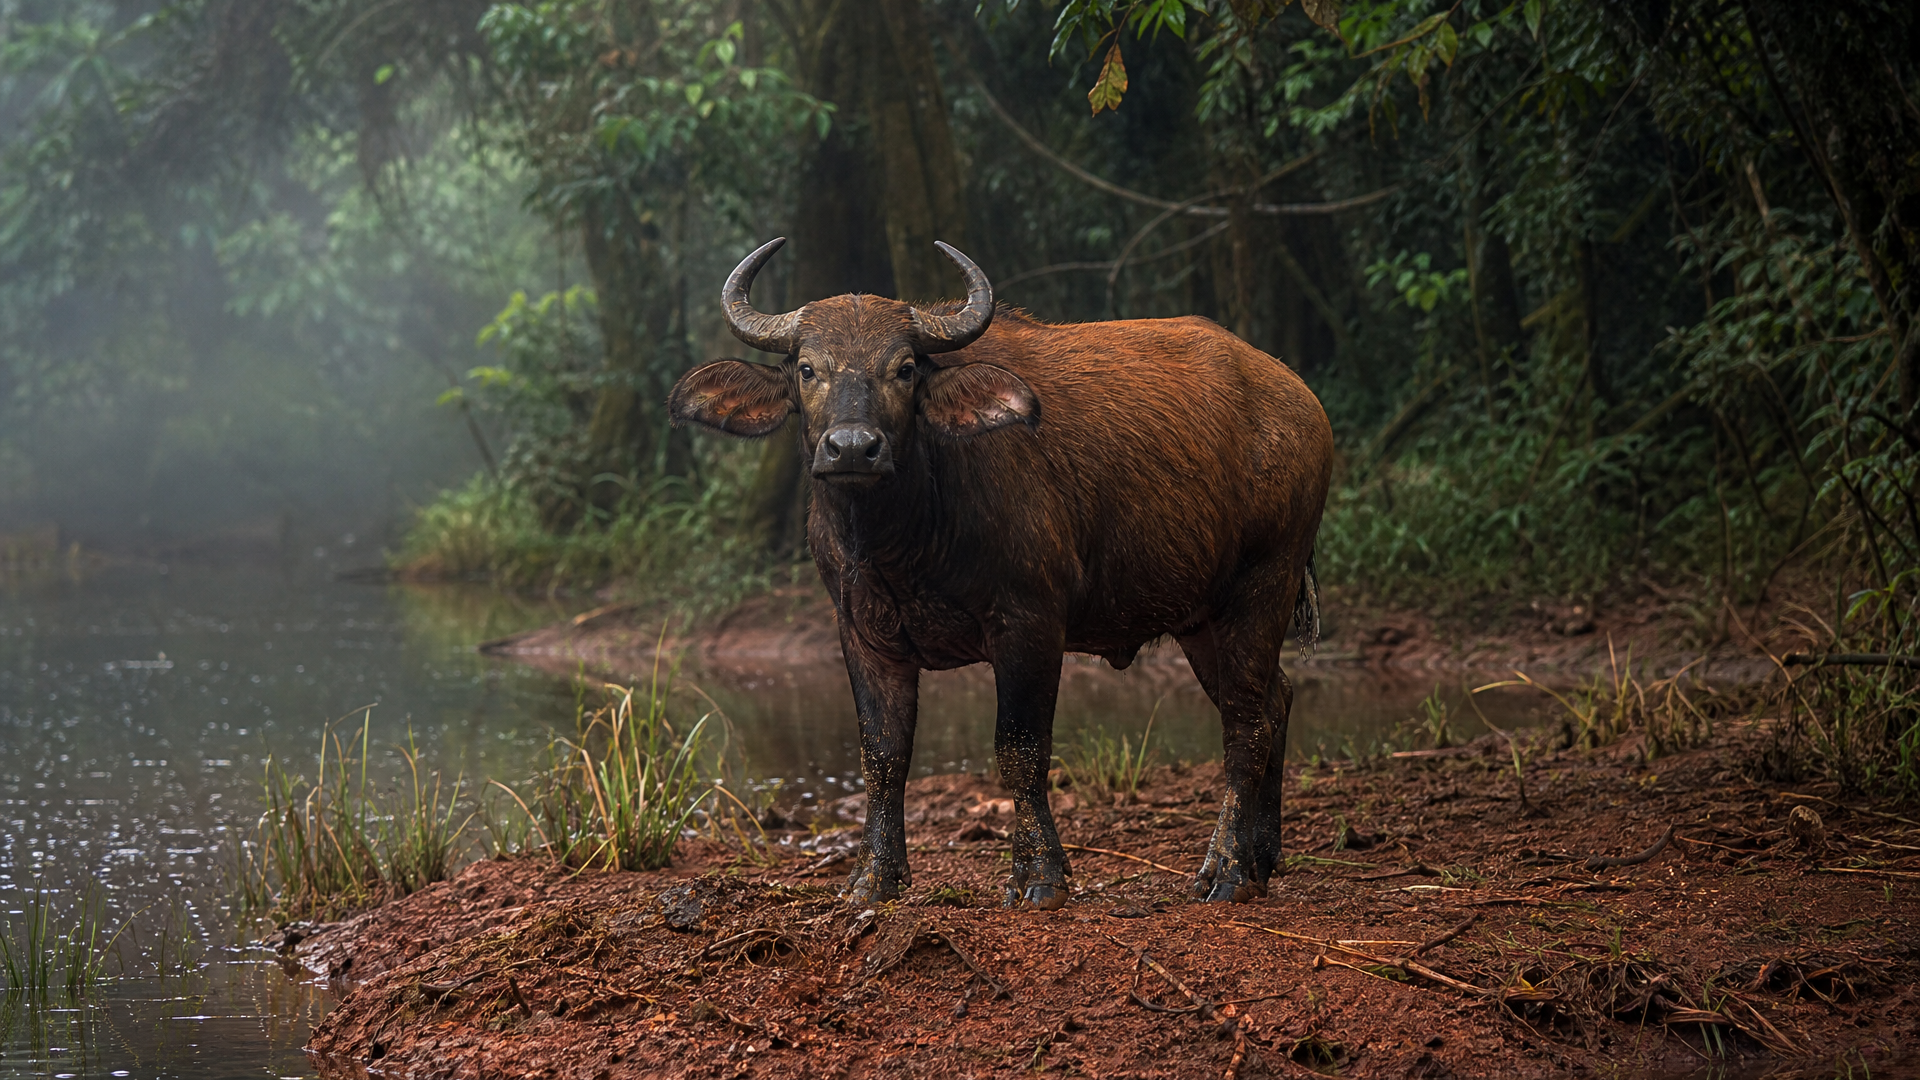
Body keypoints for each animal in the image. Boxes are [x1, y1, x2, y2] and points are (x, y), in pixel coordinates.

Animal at [670, 238, 1333, 910]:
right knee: (1275, 699)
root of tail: (1299, 400)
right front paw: (873, 878)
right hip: (1201, 618)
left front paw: (1040, 875)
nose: (852, 447)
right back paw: (1263, 855)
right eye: (808, 369)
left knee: (1244, 724)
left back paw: (1227, 869)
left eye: (904, 369)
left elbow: (1020, 748)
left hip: (1264, 583)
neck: (903, 543)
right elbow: (883, 755)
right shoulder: (861, 635)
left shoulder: (1029, 623)